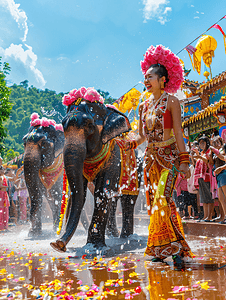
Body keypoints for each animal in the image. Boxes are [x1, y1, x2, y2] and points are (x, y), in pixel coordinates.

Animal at [50, 92, 141, 253]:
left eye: (90, 126)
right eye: (63, 126)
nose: (58, 244)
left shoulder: (114, 157)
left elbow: (102, 192)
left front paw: (94, 247)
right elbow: (82, 192)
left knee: (128, 199)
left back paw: (126, 238)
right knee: (114, 198)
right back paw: (115, 236)